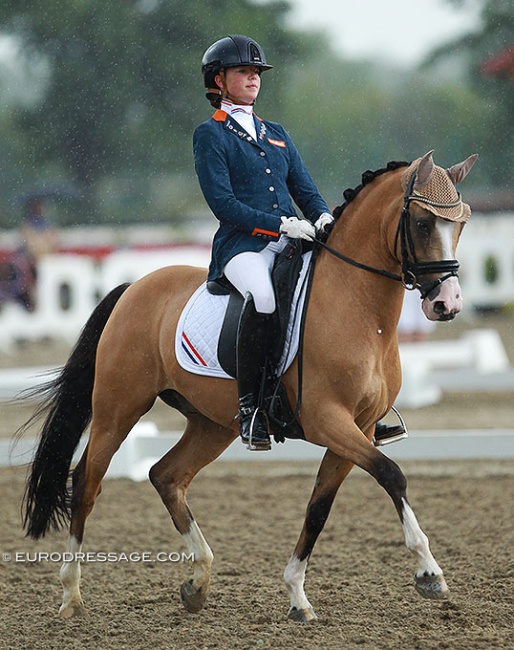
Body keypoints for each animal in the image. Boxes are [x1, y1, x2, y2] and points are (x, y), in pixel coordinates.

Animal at [21, 150, 477, 622]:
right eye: (422, 223)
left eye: (461, 223)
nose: (446, 304)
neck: (358, 308)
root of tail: (135, 287)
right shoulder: (328, 421)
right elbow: (391, 474)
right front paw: (430, 573)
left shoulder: (361, 428)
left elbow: (319, 508)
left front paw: (297, 596)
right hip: (118, 408)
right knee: (87, 482)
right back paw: (71, 595)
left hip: (212, 424)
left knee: (166, 475)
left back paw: (197, 583)